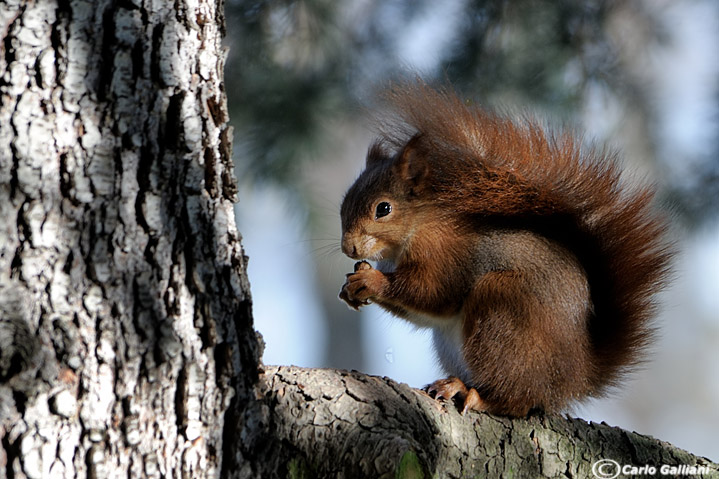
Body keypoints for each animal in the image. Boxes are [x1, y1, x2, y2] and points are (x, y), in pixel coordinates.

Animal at [340, 81, 672, 416]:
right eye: (344, 204)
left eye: (383, 208)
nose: (349, 248)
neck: (415, 231)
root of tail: (574, 379)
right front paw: (351, 288)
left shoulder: (445, 256)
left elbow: (432, 293)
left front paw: (371, 280)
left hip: (503, 310)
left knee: (516, 398)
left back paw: (474, 393)